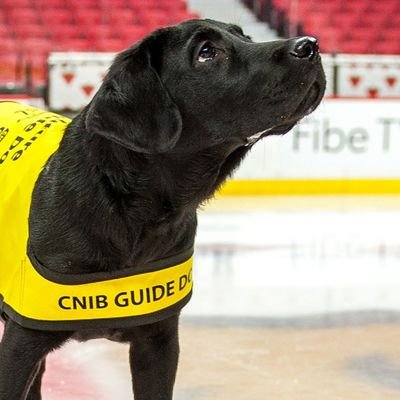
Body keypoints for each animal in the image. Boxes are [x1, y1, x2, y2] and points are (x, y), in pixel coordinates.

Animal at [0, 18, 324, 400]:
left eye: (243, 36)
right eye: (206, 53)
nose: (309, 46)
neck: (133, 210)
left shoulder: (158, 342)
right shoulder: (21, 346)